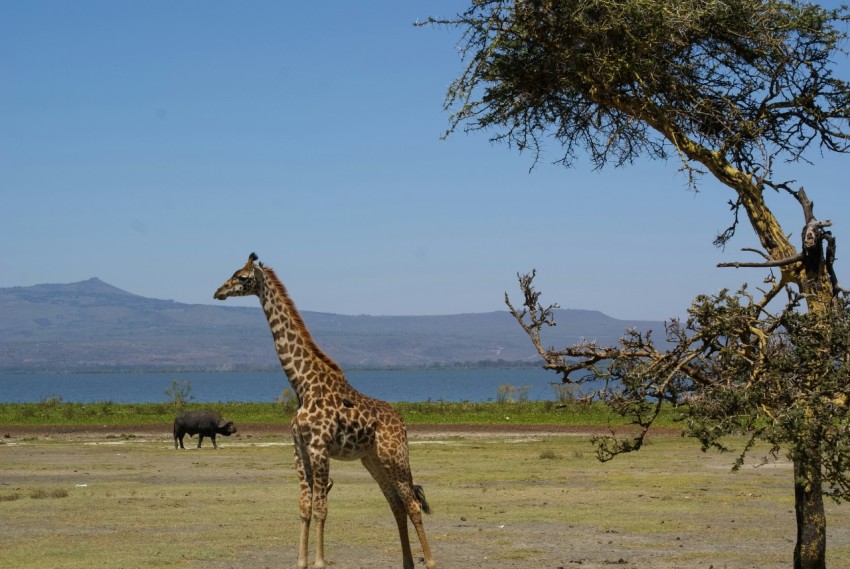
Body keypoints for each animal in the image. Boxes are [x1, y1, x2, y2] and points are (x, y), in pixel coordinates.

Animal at [214, 253, 436, 569]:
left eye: (242, 277)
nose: (218, 291)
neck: (303, 385)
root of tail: (402, 423)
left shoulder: (319, 447)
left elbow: (321, 507)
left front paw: (319, 562)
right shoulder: (299, 449)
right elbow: (305, 506)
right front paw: (301, 562)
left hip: (395, 457)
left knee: (413, 504)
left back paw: (430, 561)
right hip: (373, 460)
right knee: (395, 505)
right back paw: (407, 563)